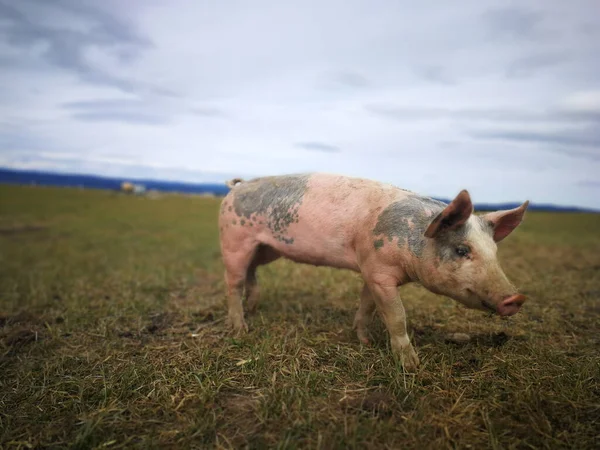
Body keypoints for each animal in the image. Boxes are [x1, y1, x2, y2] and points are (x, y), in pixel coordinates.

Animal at [218, 171, 528, 370]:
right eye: (462, 250)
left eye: (494, 252)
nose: (516, 298)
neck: (413, 240)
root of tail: (235, 187)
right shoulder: (379, 272)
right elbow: (397, 317)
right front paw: (411, 366)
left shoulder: (370, 269)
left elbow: (367, 305)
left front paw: (365, 341)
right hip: (234, 241)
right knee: (233, 282)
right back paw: (241, 328)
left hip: (266, 249)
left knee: (251, 272)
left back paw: (254, 306)